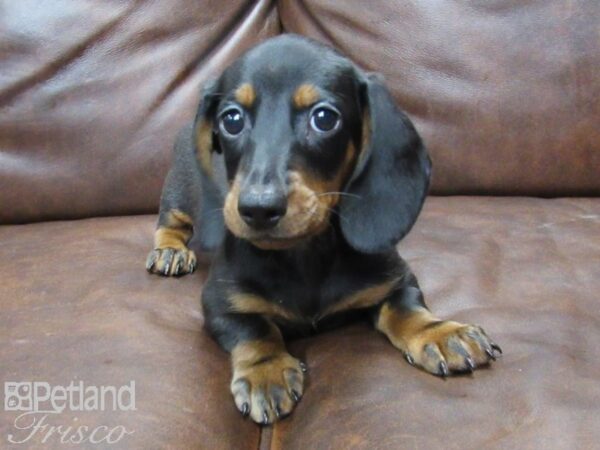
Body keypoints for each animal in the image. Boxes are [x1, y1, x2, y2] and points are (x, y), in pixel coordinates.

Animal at [146, 35, 502, 426]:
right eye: (232, 119)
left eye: (325, 118)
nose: (258, 209)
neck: (305, 255)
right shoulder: (220, 303)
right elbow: (255, 329)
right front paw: (265, 372)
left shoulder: (394, 279)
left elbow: (407, 308)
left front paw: (440, 333)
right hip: (177, 196)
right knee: (170, 223)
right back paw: (170, 251)